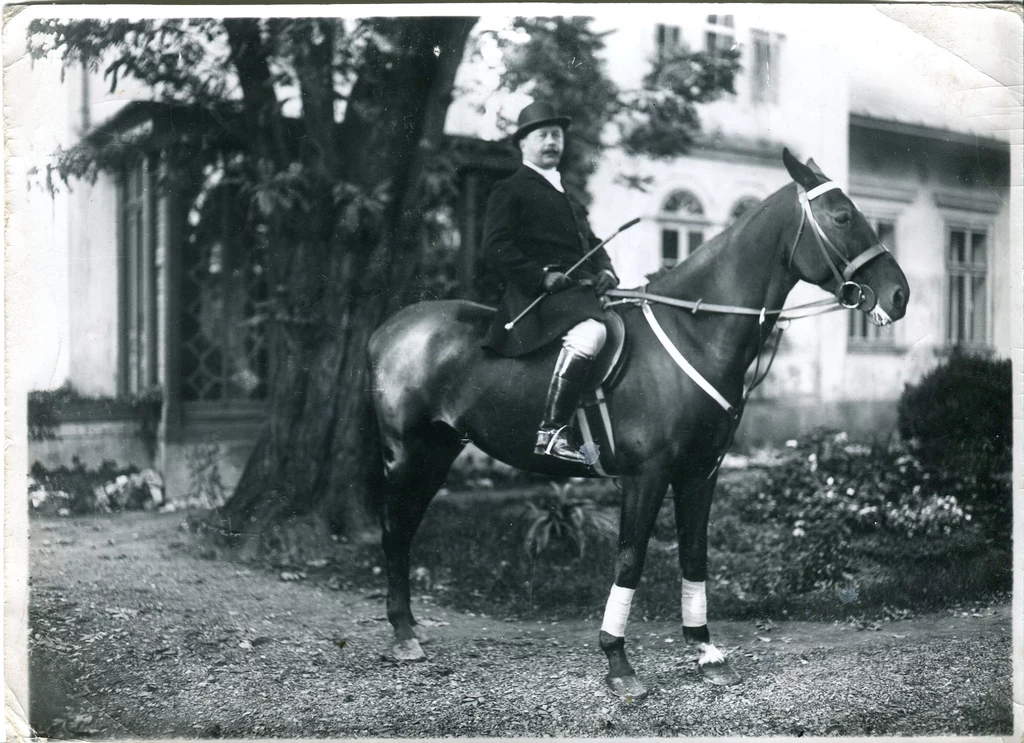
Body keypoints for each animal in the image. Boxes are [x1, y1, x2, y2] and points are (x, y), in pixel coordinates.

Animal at [368, 149, 913, 700]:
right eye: (842, 216)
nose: (899, 295)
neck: (695, 330)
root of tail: (389, 327)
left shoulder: (701, 473)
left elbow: (695, 555)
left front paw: (706, 650)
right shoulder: (646, 476)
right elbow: (630, 560)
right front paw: (618, 661)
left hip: (439, 452)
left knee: (406, 530)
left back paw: (408, 628)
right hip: (407, 454)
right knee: (394, 532)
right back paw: (403, 635)